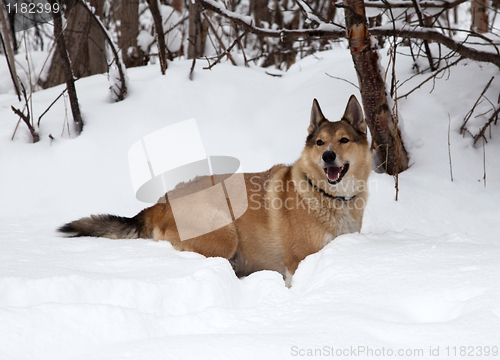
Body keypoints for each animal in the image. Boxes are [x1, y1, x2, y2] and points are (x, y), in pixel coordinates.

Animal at [58, 96, 372, 286]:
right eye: (319, 143)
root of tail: (161, 202)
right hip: (225, 233)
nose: (328, 156)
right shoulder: (297, 263)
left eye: (343, 140)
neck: (329, 197)